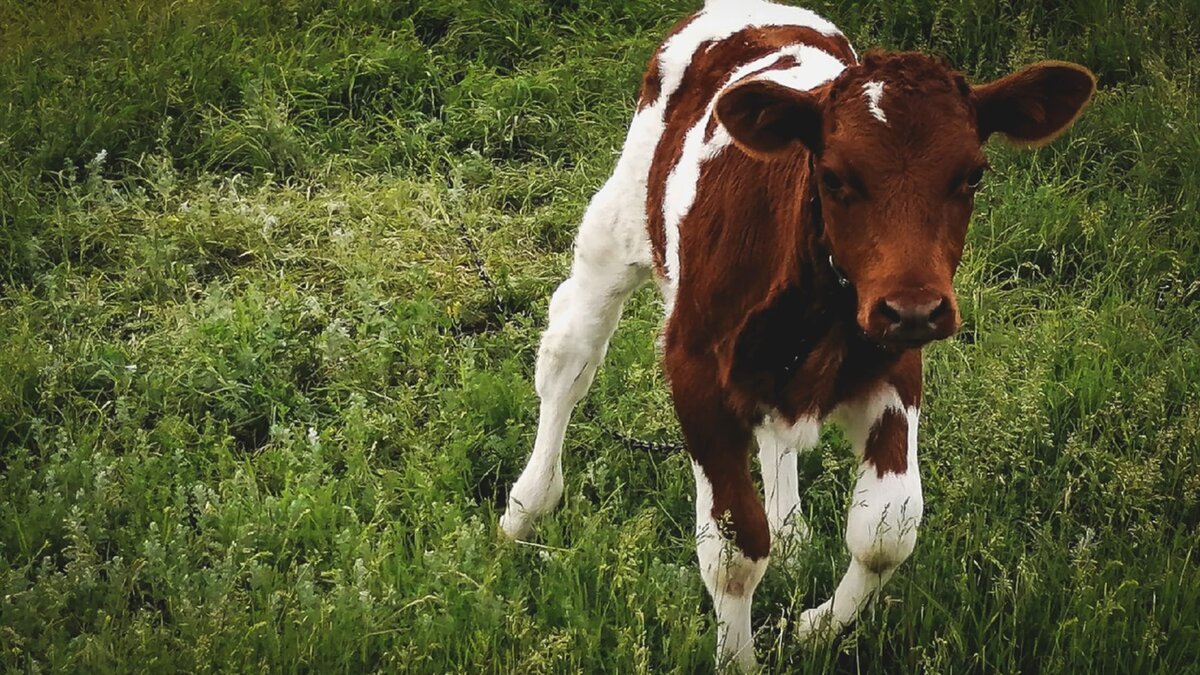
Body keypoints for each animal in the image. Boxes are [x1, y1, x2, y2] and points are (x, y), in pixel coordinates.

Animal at [496, 0, 1089, 667]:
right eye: (834, 175)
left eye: (973, 175)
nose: (914, 309)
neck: (815, 307)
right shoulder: (694, 369)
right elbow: (734, 551)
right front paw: (738, 660)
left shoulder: (892, 368)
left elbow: (886, 529)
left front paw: (812, 628)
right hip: (618, 221)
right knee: (569, 356)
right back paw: (526, 507)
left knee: (777, 437)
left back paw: (793, 536)